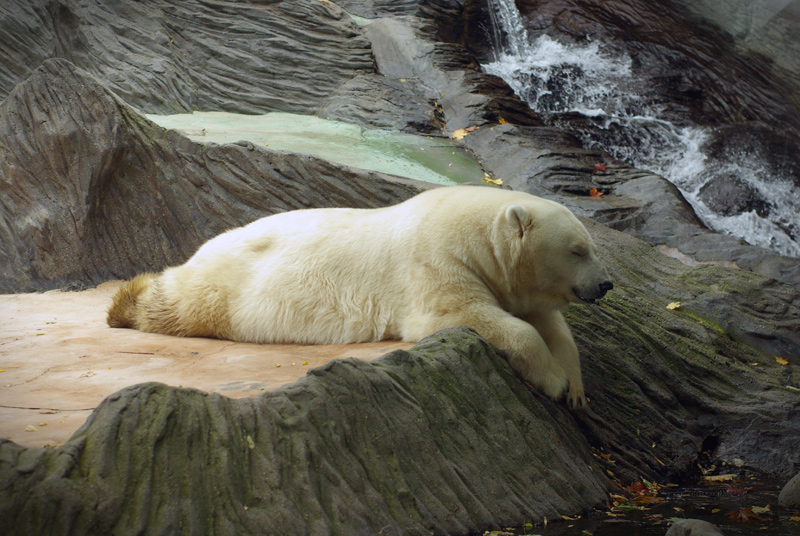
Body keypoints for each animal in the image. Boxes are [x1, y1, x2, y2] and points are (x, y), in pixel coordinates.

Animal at [108, 184, 612, 406]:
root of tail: (205, 245)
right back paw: (125, 303)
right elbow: (468, 314)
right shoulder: (436, 262)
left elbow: (551, 325)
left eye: (590, 246)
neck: (476, 237)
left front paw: (576, 389)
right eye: (577, 249)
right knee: (181, 303)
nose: (605, 283)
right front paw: (554, 382)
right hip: (226, 285)